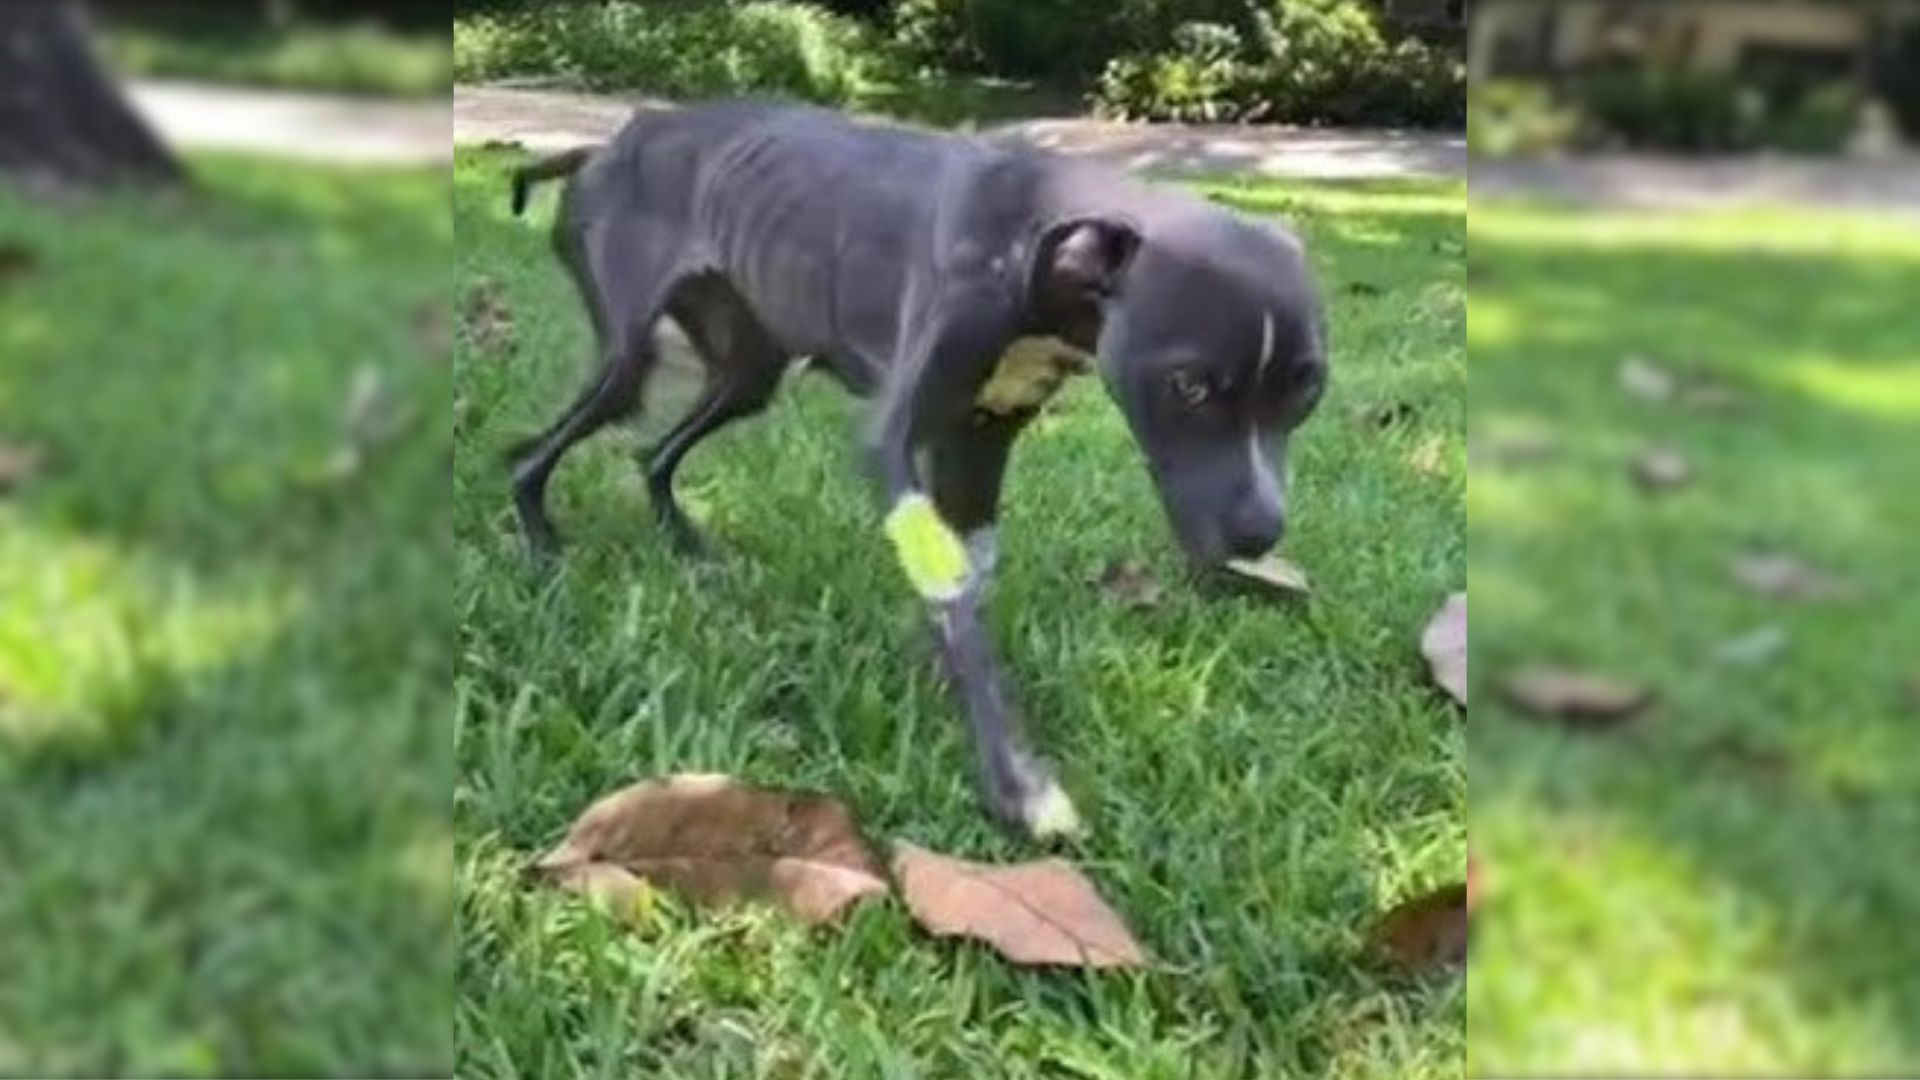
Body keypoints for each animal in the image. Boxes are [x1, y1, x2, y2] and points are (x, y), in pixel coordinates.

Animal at [503, 100, 1328, 837]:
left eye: (1308, 390)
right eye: (1189, 386)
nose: (1260, 534)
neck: (1031, 248)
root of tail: (604, 146)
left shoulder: (981, 441)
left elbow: (969, 580)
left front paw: (942, 678)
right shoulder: (896, 443)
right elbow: (955, 595)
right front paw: (1017, 782)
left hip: (750, 368)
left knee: (653, 455)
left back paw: (688, 548)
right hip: (627, 359)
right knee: (530, 455)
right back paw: (541, 545)